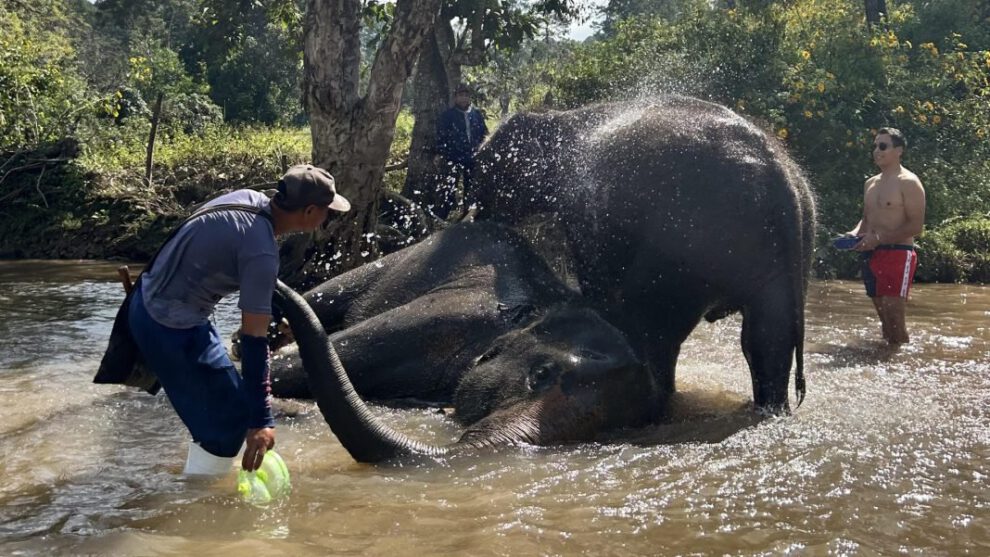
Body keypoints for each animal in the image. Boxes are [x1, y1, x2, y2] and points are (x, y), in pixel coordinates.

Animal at [466, 96, 817, 412]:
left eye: (487, 169)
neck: (559, 117)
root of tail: (779, 183)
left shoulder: (586, 208)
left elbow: (596, 281)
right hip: (782, 257)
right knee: (766, 339)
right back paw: (770, 409)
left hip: (683, 244)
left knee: (658, 331)